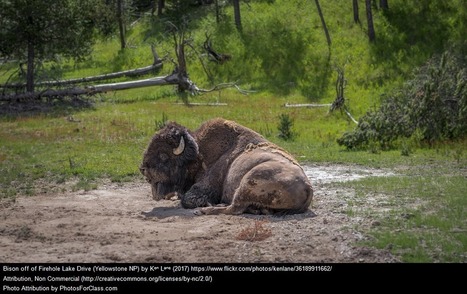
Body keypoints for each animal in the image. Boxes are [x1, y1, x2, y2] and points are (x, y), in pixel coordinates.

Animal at [139, 117, 314, 216]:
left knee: (234, 208)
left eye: (163, 156)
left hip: (248, 181)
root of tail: (308, 186)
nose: (142, 169)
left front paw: (202, 205)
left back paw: (204, 210)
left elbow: (187, 199)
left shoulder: (206, 186)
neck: (199, 152)